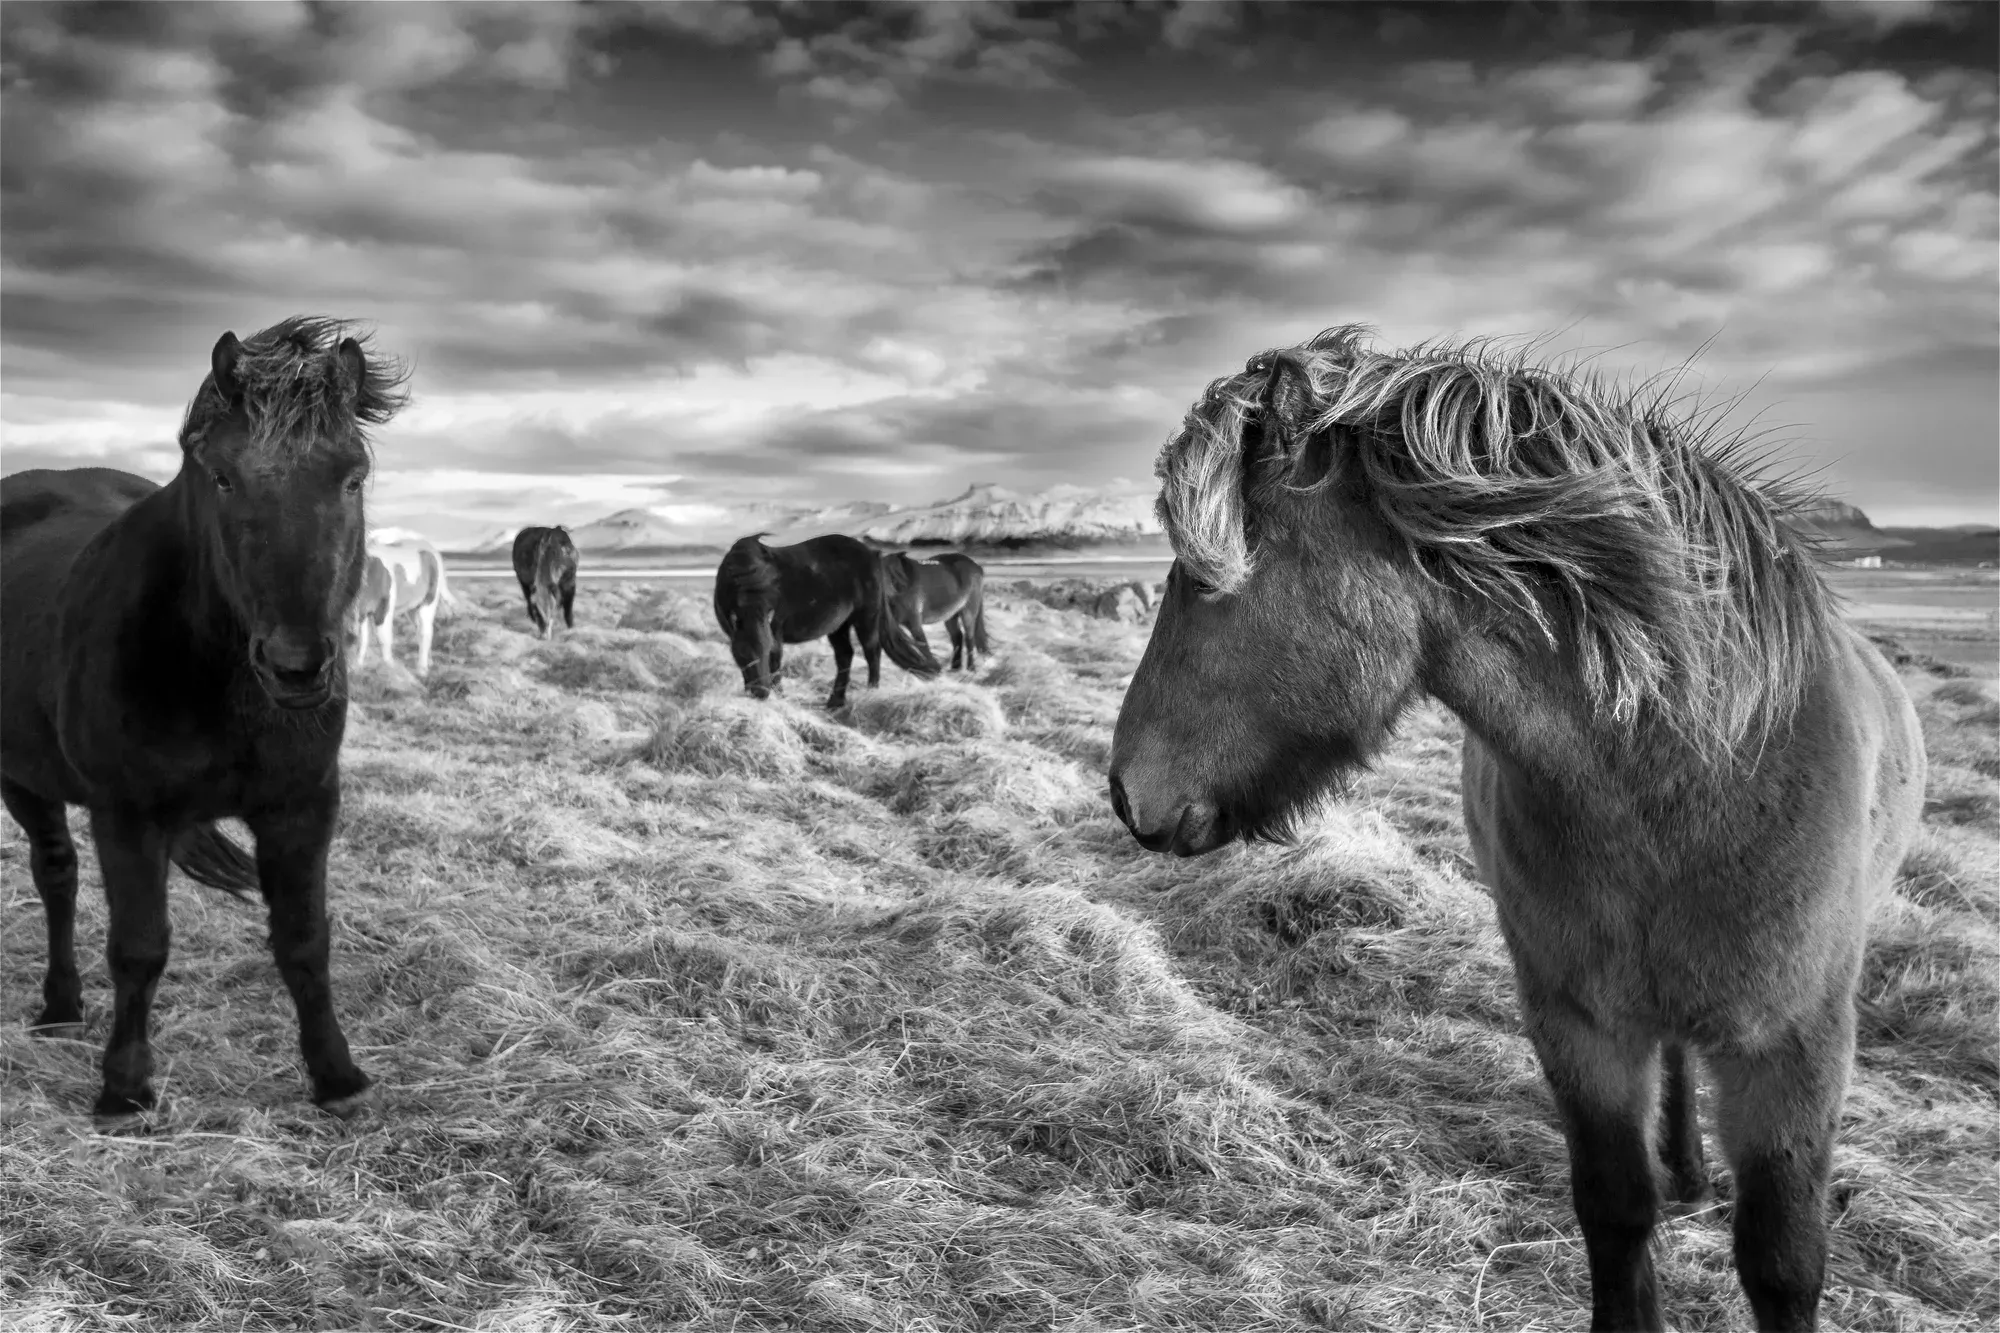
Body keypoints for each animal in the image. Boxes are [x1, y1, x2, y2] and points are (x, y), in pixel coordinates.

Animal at [0, 315, 410, 1126]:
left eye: (351, 478)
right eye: (223, 477)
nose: (297, 666)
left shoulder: (302, 806)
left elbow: (304, 940)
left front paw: (336, 1075)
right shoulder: (128, 815)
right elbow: (139, 947)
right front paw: (124, 1088)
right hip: (21, 777)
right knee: (56, 875)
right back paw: (60, 1007)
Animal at [349, 528, 452, 676]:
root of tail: (431, 548)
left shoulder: (384, 610)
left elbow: (383, 638)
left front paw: (389, 668)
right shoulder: (362, 613)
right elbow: (363, 640)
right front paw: (356, 667)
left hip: (428, 602)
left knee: (425, 632)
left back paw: (422, 669)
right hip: (413, 608)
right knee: (420, 630)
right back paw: (429, 662)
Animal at [713, 533, 941, 708]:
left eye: (766, 650)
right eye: (742, 654)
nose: (761, 693)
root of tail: (872, 555)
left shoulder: (774, 633)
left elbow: (776, 663)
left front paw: (780, 696)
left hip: (867, 618)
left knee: (872, 652)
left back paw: (870, 691)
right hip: (839, 626)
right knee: (845, 656)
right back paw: (835, 701)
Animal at [1107, 326, 1924, 1333]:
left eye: (1202, 577)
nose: (1124, 789)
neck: (1694, 771)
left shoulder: (1795, 1048)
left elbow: (1782, 1262)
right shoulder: (1575, 1023)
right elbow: (1615, 1210)